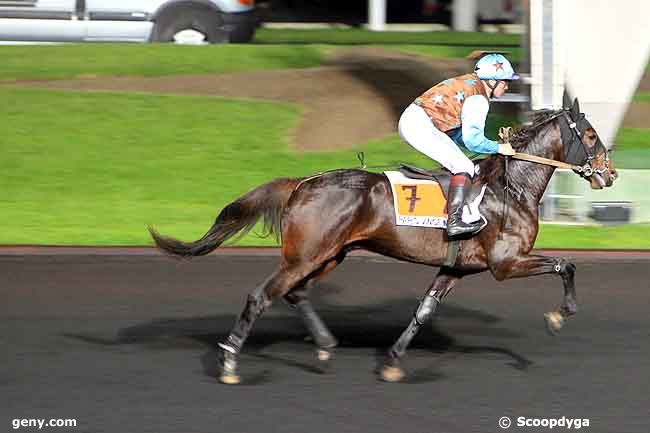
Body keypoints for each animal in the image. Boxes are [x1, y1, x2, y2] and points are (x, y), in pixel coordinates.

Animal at [148, 96, 616, 384]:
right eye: (591, 135)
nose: (609, 174)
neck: (512, 187)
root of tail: (302, 183)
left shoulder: (456, 268)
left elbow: (424, 310)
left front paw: (392, 361)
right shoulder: (506, 263)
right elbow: (566, 264)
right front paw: (559, 315)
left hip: (329, 254)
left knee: (296, 294)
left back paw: (324, 346)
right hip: (307, 255)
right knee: (261, 295)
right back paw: (229, 360)